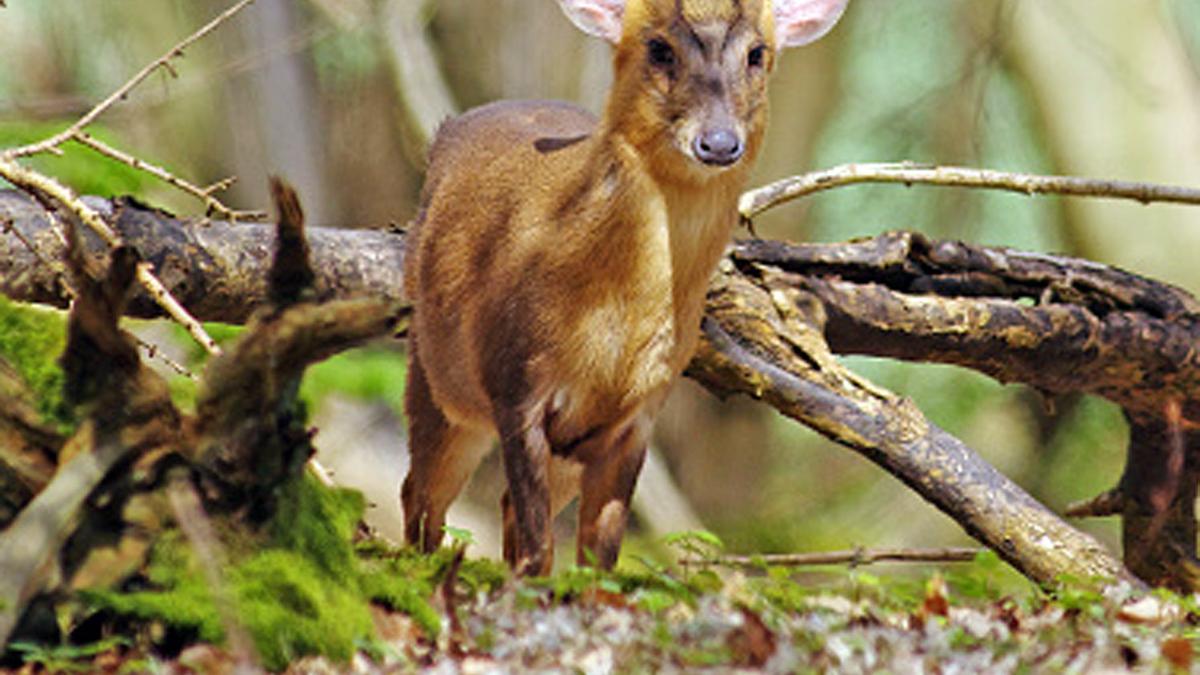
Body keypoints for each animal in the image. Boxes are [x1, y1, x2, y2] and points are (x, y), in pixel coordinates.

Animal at [402, 0, 849, 575]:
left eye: (757, 53)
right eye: (659, 48)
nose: (719, 141)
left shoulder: (639, 414)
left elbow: (601, 555)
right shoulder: (514, 382)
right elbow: (538, 546)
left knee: (494, 505)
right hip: (437, 375)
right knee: (423, 495)